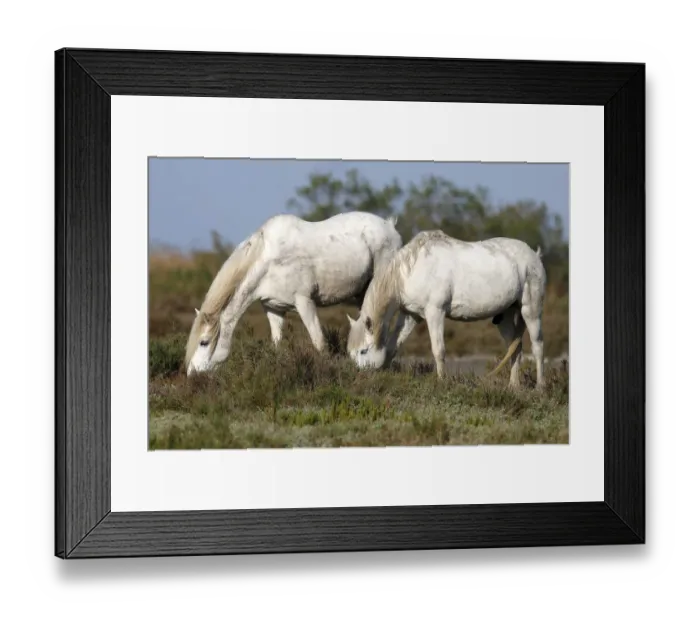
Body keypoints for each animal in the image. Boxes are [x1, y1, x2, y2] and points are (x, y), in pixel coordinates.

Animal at [185, 211, 404, 376]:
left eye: (204, 342)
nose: (192, 374)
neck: (269, 261)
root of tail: (390, 226)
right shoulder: (273, 309)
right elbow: (276, 343)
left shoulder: (304, 302)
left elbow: (319, 343)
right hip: (363, 294)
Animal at [345, 230, 547, 389]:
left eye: (363, 351)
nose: (359, 377)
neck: (412, 269)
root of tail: (534, 255)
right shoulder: (410, 315)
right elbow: (393, 346)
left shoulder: (435, 312)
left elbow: (438, 350)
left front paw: (442, 382)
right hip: (505, 315)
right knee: (515, 348)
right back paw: (514, 386)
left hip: (531, 310)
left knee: (537, 346)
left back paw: (540, 386)